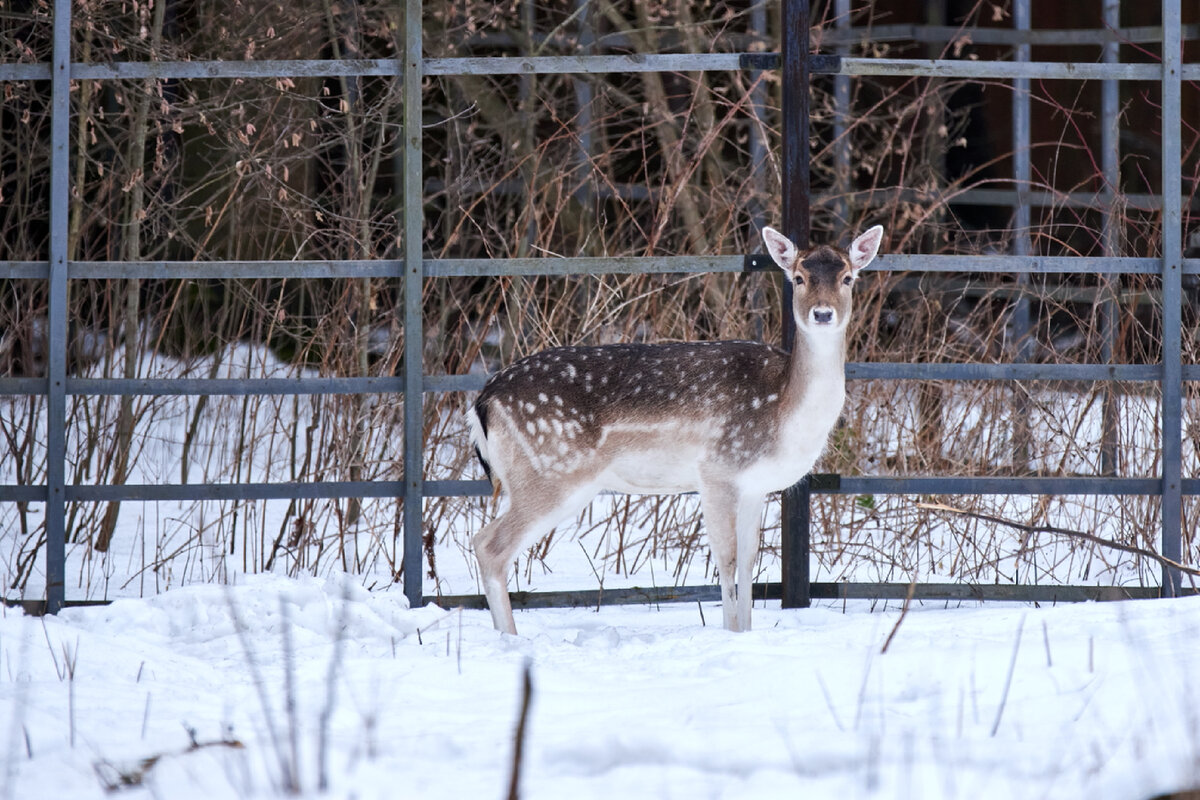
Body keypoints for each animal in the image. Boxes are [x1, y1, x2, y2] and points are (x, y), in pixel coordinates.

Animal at [465, 224, 883, 633]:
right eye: (798, 277)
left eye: (848, 277)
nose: (822, 314)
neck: (784, 411)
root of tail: (483, 401)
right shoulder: (717, 471)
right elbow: (727, 562)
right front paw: (731, 634)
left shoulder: (755, 486)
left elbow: (750, 564)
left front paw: (747, 633)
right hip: (552, 471)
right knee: (489, 545)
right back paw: (510, 639)